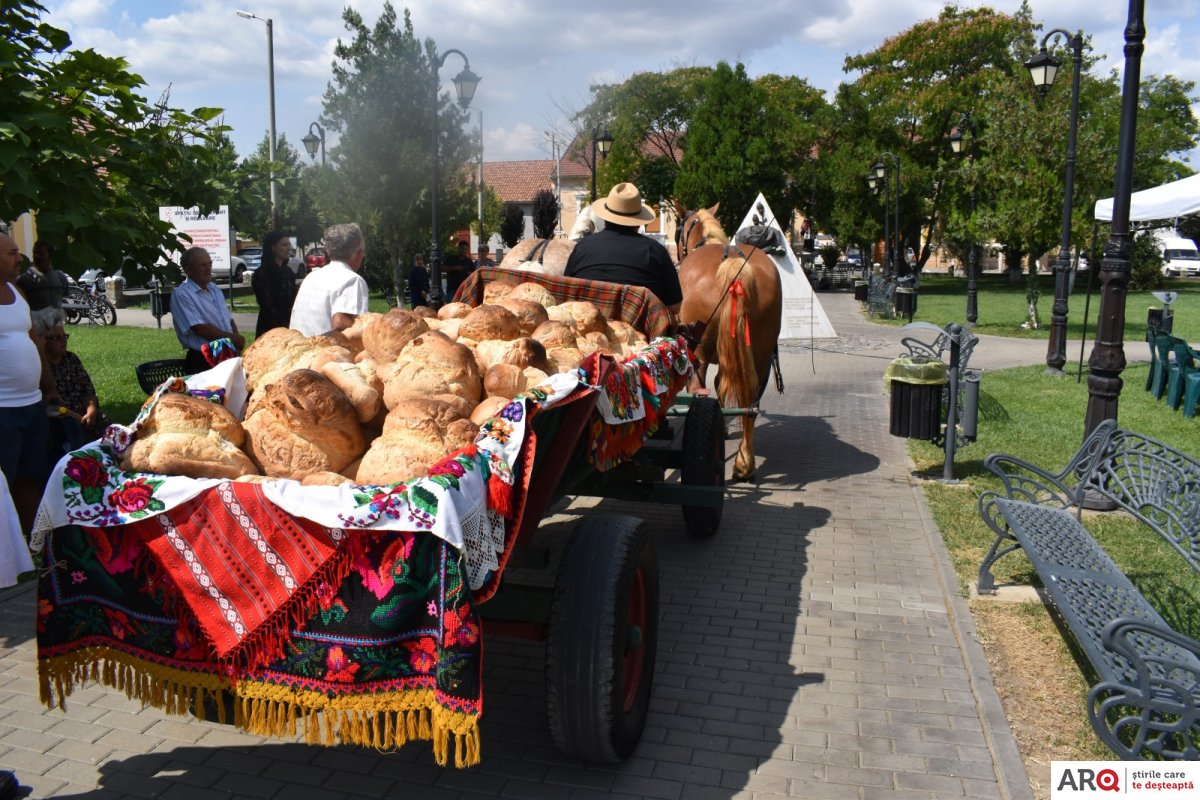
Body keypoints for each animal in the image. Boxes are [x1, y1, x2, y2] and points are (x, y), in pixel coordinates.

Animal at [681, 206, 782, 482]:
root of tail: (734, 263)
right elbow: (722, 387)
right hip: (761, 355)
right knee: (750, 401)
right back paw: (745, 463)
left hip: (699, 351)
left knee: (700, 390)